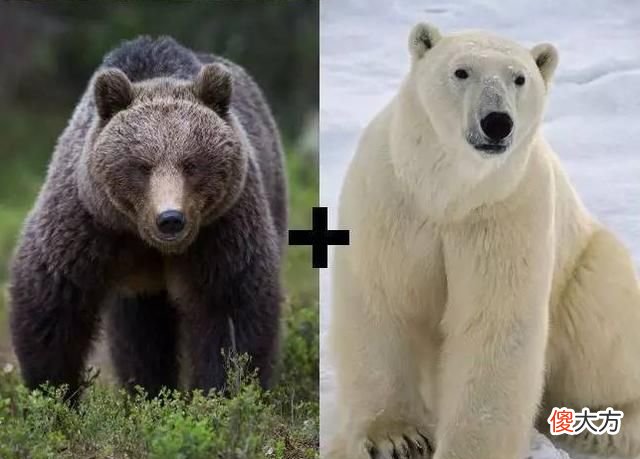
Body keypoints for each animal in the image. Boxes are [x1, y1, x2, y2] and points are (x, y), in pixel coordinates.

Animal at [9, 36, 287, 399]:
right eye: (142, 166)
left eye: (191, 164)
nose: (170, 218)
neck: (144, 238)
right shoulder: (87, 223)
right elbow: (52, 304)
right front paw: (55, 393)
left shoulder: (222, 229)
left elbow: (232, 312)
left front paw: (223, 393)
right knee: (140, 335)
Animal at [326, 22, 640, 459]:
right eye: (461, 71)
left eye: (519, 78)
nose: (496, 122)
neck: (449, 195)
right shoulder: (393, 202)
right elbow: (384, 300)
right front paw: (396, 437)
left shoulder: (504, 212)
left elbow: (493, 323)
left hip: (587, 269)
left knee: (602, 339)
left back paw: (606, 428)